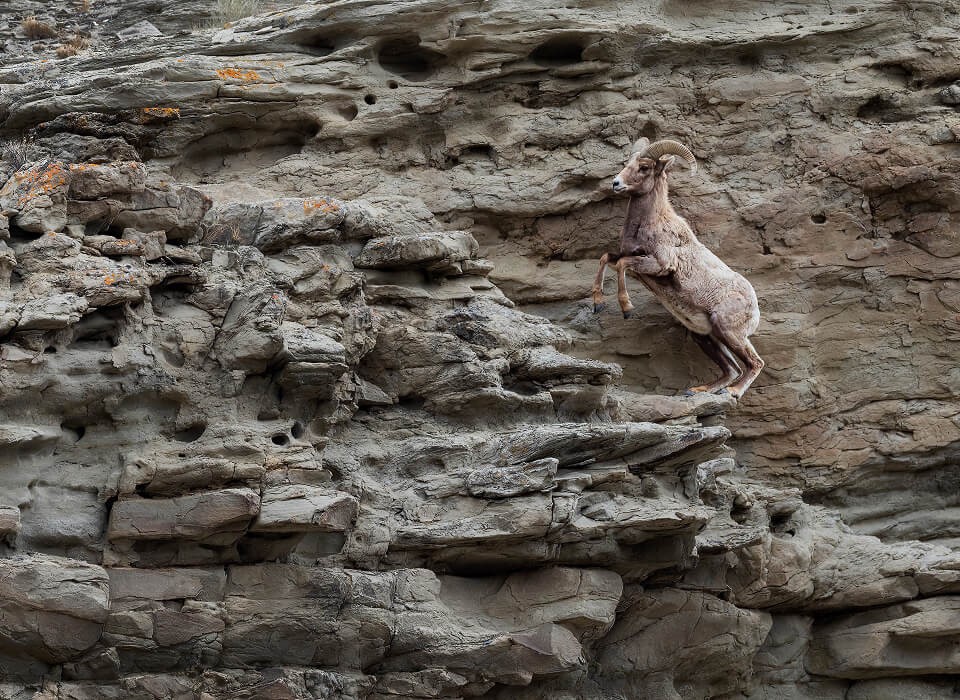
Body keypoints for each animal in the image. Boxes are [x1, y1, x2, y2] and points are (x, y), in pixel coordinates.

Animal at [591, 138, 764, 399]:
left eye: (644, 167)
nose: (616, 183)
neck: (649, 224)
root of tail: (754, 310)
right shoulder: (629, 259)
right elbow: (605, 259)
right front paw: (598, 304)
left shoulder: (658, 264)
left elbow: (621, 265)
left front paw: (627, 309)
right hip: (705, 336)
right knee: (732, 369)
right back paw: (696, 390)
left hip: (729, 331)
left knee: (754, 363)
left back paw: (733, 392)